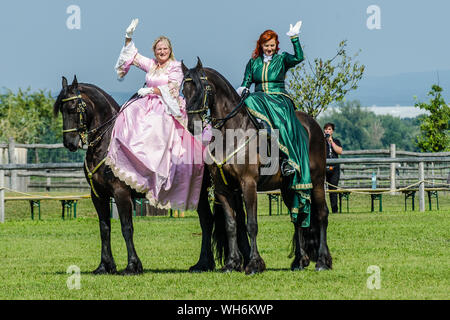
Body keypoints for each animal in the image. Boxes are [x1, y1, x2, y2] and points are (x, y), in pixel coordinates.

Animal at [53, 76, 215, 274]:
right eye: (61, 109)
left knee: (207, 221)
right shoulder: (98, 195)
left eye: (74, 107)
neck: (106, 142)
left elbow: (126, 227)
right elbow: (104, 228)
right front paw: (105, 265)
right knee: (207, 221)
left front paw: (132, 265)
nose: (69, 143)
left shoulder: (121, 193)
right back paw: (204, 263)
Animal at [181, 58, 332, 274]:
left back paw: (322, 261)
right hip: (289, 187)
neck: (232, 133)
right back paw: (299, 261)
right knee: (297, 218)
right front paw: (231, 263)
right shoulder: (222, 188)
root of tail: (314, 126)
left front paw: (253, 264)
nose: (193, 125)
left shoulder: (248, 184)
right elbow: (231, 224)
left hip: (317, 182)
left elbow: (251, 224)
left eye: (203, 89)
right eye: (184, 91)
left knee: (321, 215)